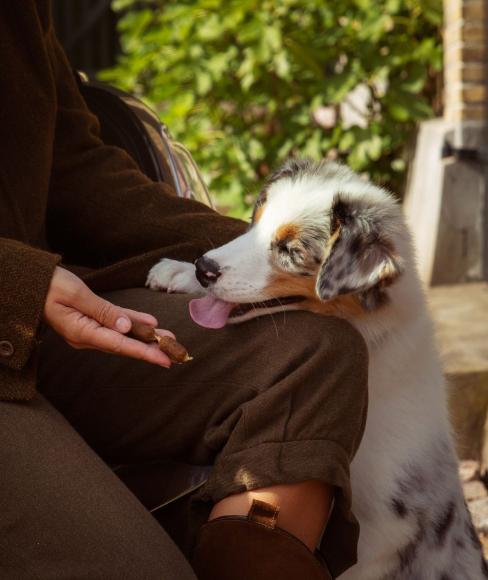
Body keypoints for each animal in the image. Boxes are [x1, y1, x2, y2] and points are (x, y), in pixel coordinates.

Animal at [146, 160, 488, 580]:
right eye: (255, 222)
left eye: (291, 251)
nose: (203, 268)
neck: (371, 335)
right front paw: (178, 274)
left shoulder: (379, 533)